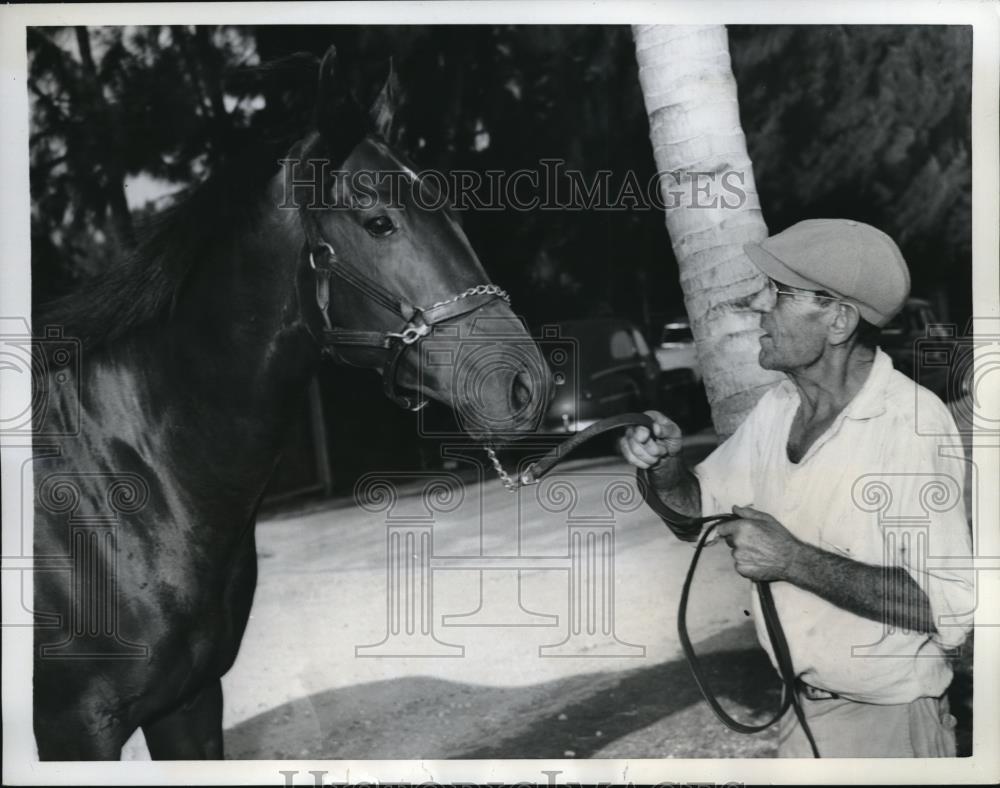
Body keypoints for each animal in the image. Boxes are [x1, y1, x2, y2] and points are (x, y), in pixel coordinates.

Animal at [31, 47, 552, 756]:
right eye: (378, 222)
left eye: (453, 212)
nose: (525, 384)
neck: (117, 478)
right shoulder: (77, 728)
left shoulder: (189, 701)